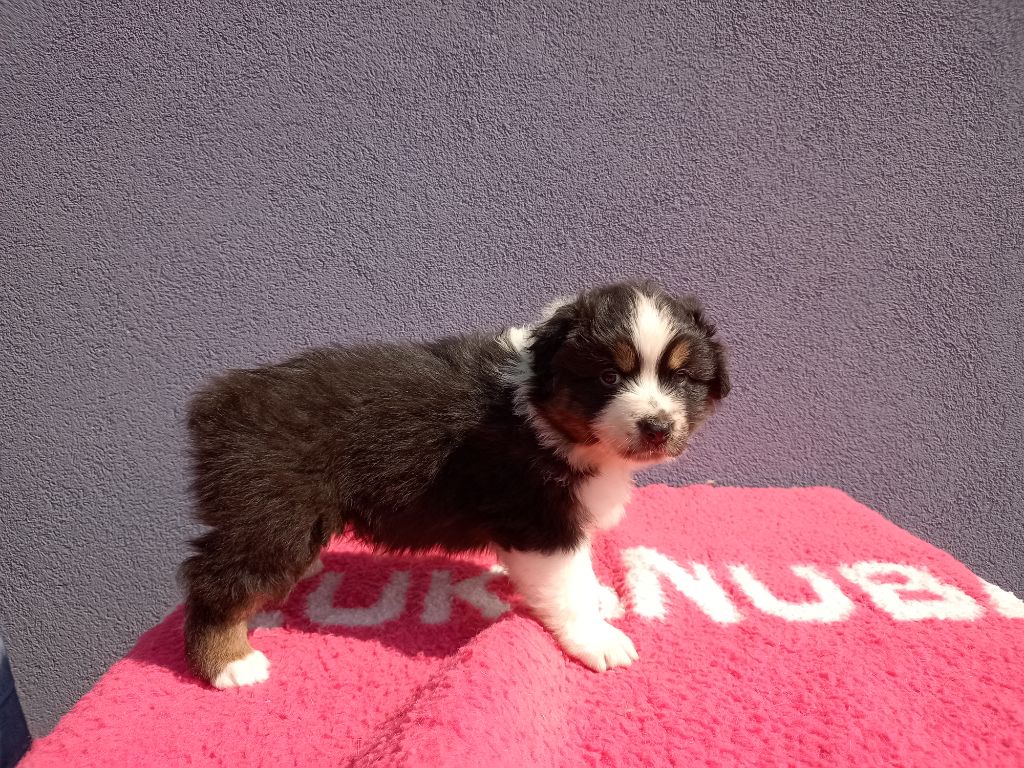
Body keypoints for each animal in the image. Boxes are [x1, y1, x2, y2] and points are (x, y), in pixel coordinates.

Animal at [179, 280, 730, 688]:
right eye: (608, 378)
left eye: (681, 377)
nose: (656, 426)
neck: (543, 412)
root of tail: (221, 402)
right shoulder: (540, 521)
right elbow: (567, 584)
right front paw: (597, 638)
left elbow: (581, 571)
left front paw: (598, 595)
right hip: (272, 510)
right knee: (214, 577)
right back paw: (228, 661)